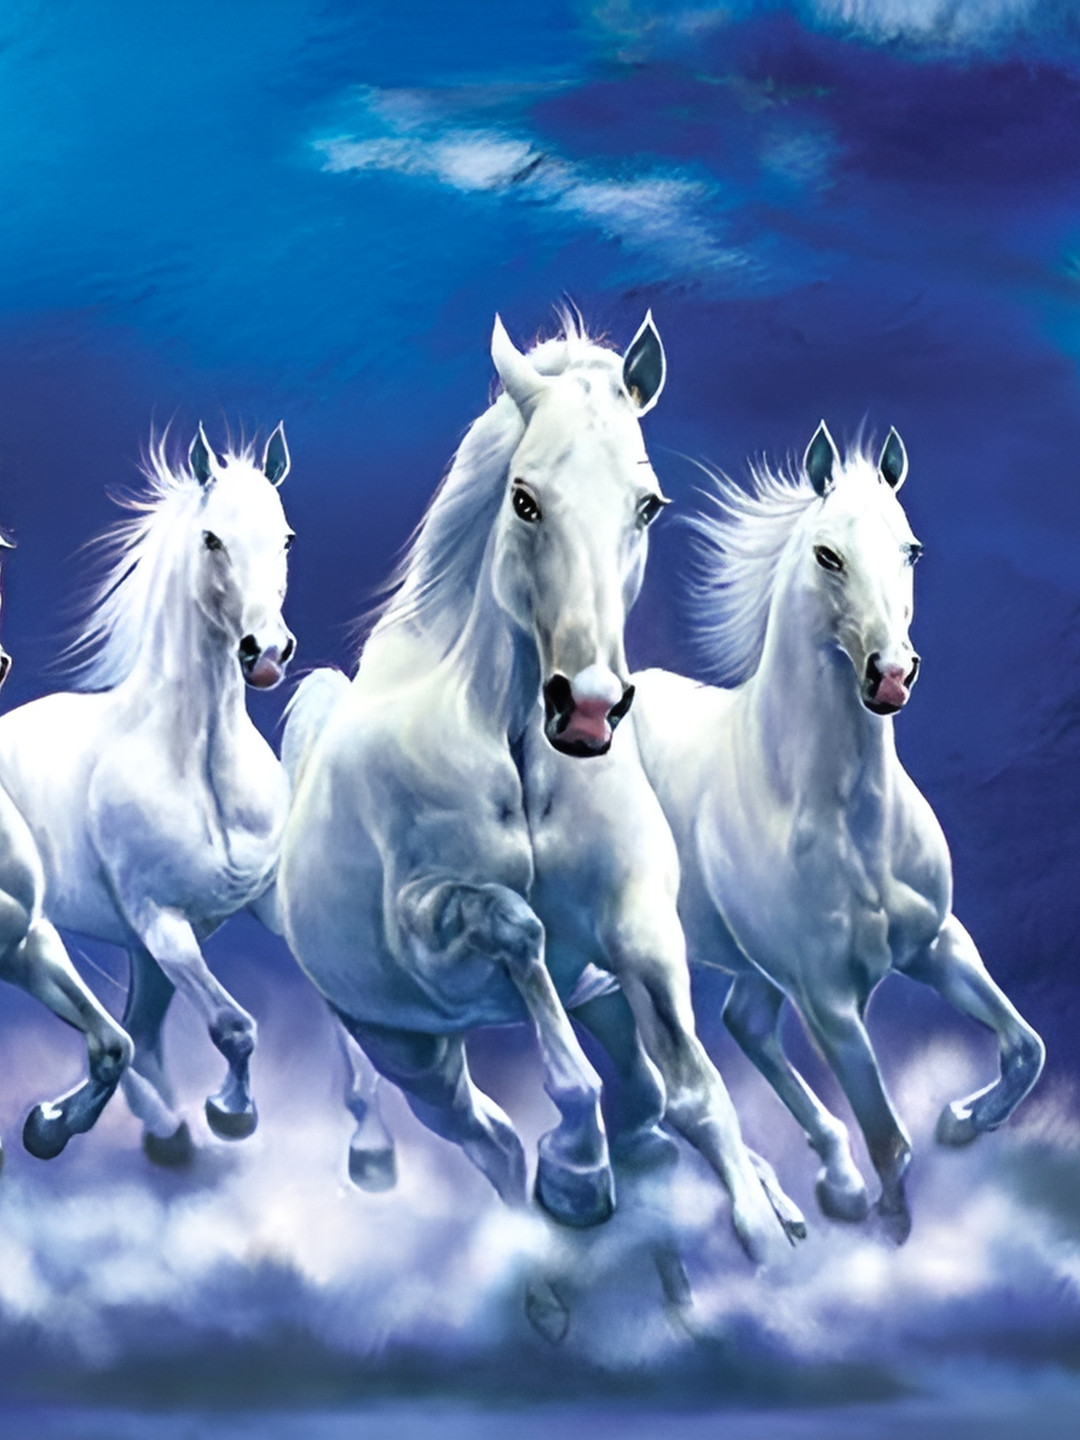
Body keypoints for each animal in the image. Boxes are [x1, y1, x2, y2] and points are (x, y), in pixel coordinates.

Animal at [0, 425, 296, 1162]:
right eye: (212, 539)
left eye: (285, 538)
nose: (266, 652)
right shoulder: (160, 921)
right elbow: (232, 1026)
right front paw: (231, 1112)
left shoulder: (249, 908)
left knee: (139, 1030)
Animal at [278, 313, 797, 1264]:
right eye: (525, 499)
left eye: (647, 504)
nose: (587, 706)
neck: (517, 744)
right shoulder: (428, 926)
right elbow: (517, 930)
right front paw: (580, 1168)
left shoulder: (636, 918)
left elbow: (696, 1088)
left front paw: (761, 1230)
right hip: (412, 1051)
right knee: (490, 1140)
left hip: (595, 998)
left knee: (634, 1086)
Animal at [631, 422, 1045, 1241]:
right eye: (828, 554)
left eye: (911, 549)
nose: (890, 675)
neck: (844, 819)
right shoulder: (827, 1000)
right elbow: (890, 1141)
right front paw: (888, 1219)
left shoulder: (936, 946)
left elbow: (1026, 1049)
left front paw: (959, 1121)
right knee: (675, 1082)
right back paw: (787, 1203)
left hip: (754, 968)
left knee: (744, 1026)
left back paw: (829, 1185)